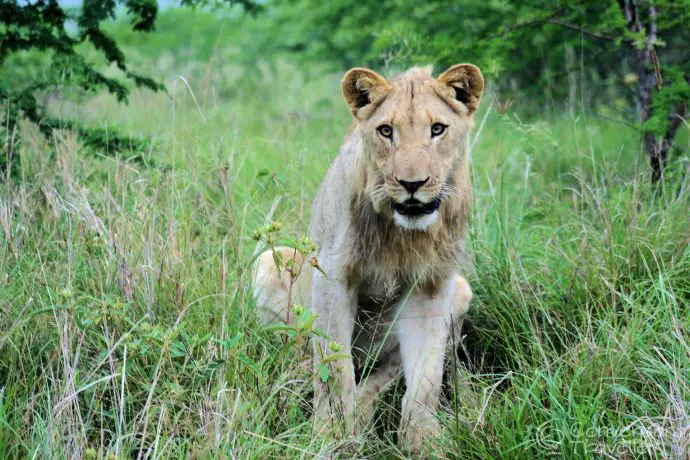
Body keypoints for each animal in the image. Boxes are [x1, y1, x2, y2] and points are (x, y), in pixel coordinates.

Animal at [250, 63, 482, 452]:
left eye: (437, 129)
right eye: (386, 131)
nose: (412, 184)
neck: (402, 235)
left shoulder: (431, 285)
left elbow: (426, 377)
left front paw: (423, 442)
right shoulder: (332, 276)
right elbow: (334, 370)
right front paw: (329, 436)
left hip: (460, 291)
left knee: (384, 374)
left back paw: (363, 408)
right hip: (267, 261)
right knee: (305, 355)